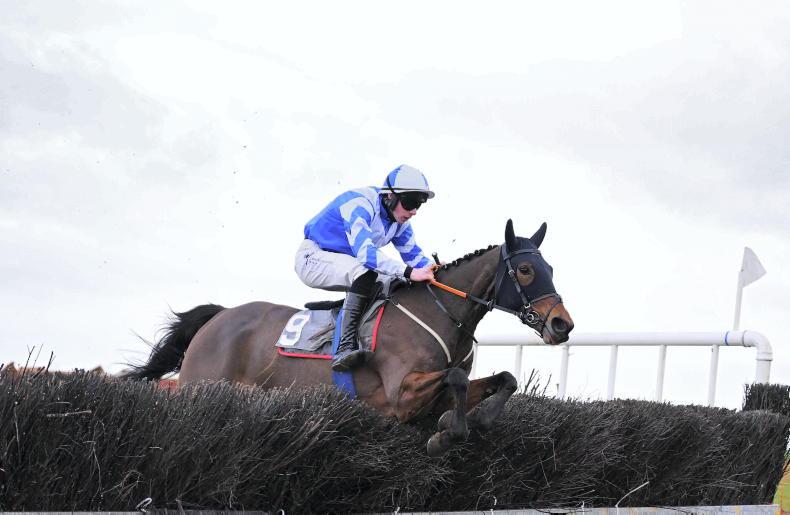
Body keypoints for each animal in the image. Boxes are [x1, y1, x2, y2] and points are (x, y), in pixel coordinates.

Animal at [123, 219, 574, 456]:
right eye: (526, 270)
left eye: (551, 267)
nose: (561, 325)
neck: (440, 312)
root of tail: (217, 318)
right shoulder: (397, 397)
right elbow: (457, 378)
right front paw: (449, 432)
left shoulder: (431, 398)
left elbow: (503, 380)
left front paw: (473, 419)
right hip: (200, 387)